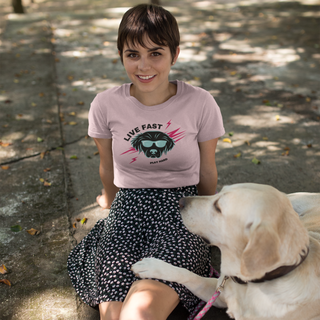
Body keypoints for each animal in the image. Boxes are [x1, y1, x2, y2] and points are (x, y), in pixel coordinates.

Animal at [132, 184, 320, 318]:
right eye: (219, 192)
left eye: (218, 207)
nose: (180, 202)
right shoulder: (216, 292)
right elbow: (186, 274)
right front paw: (153, 267)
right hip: (293, 197)